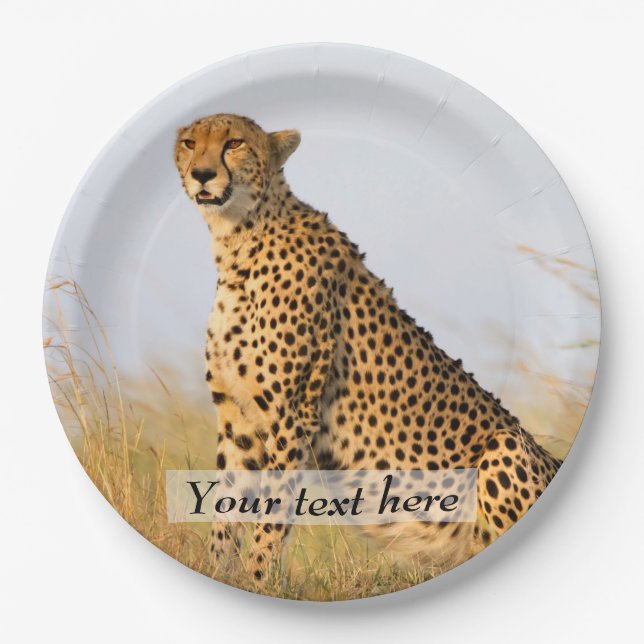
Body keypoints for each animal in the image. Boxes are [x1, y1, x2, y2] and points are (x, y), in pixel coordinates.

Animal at [174, 113, 561, 592]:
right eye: (190, 143)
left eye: (234, 143)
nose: (202, 174)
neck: (239, 240)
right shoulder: (237, 419)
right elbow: (226, 508)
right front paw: (219, 574)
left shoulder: (292, 415)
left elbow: (270, 513)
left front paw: (259, 581)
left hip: (504, 446)